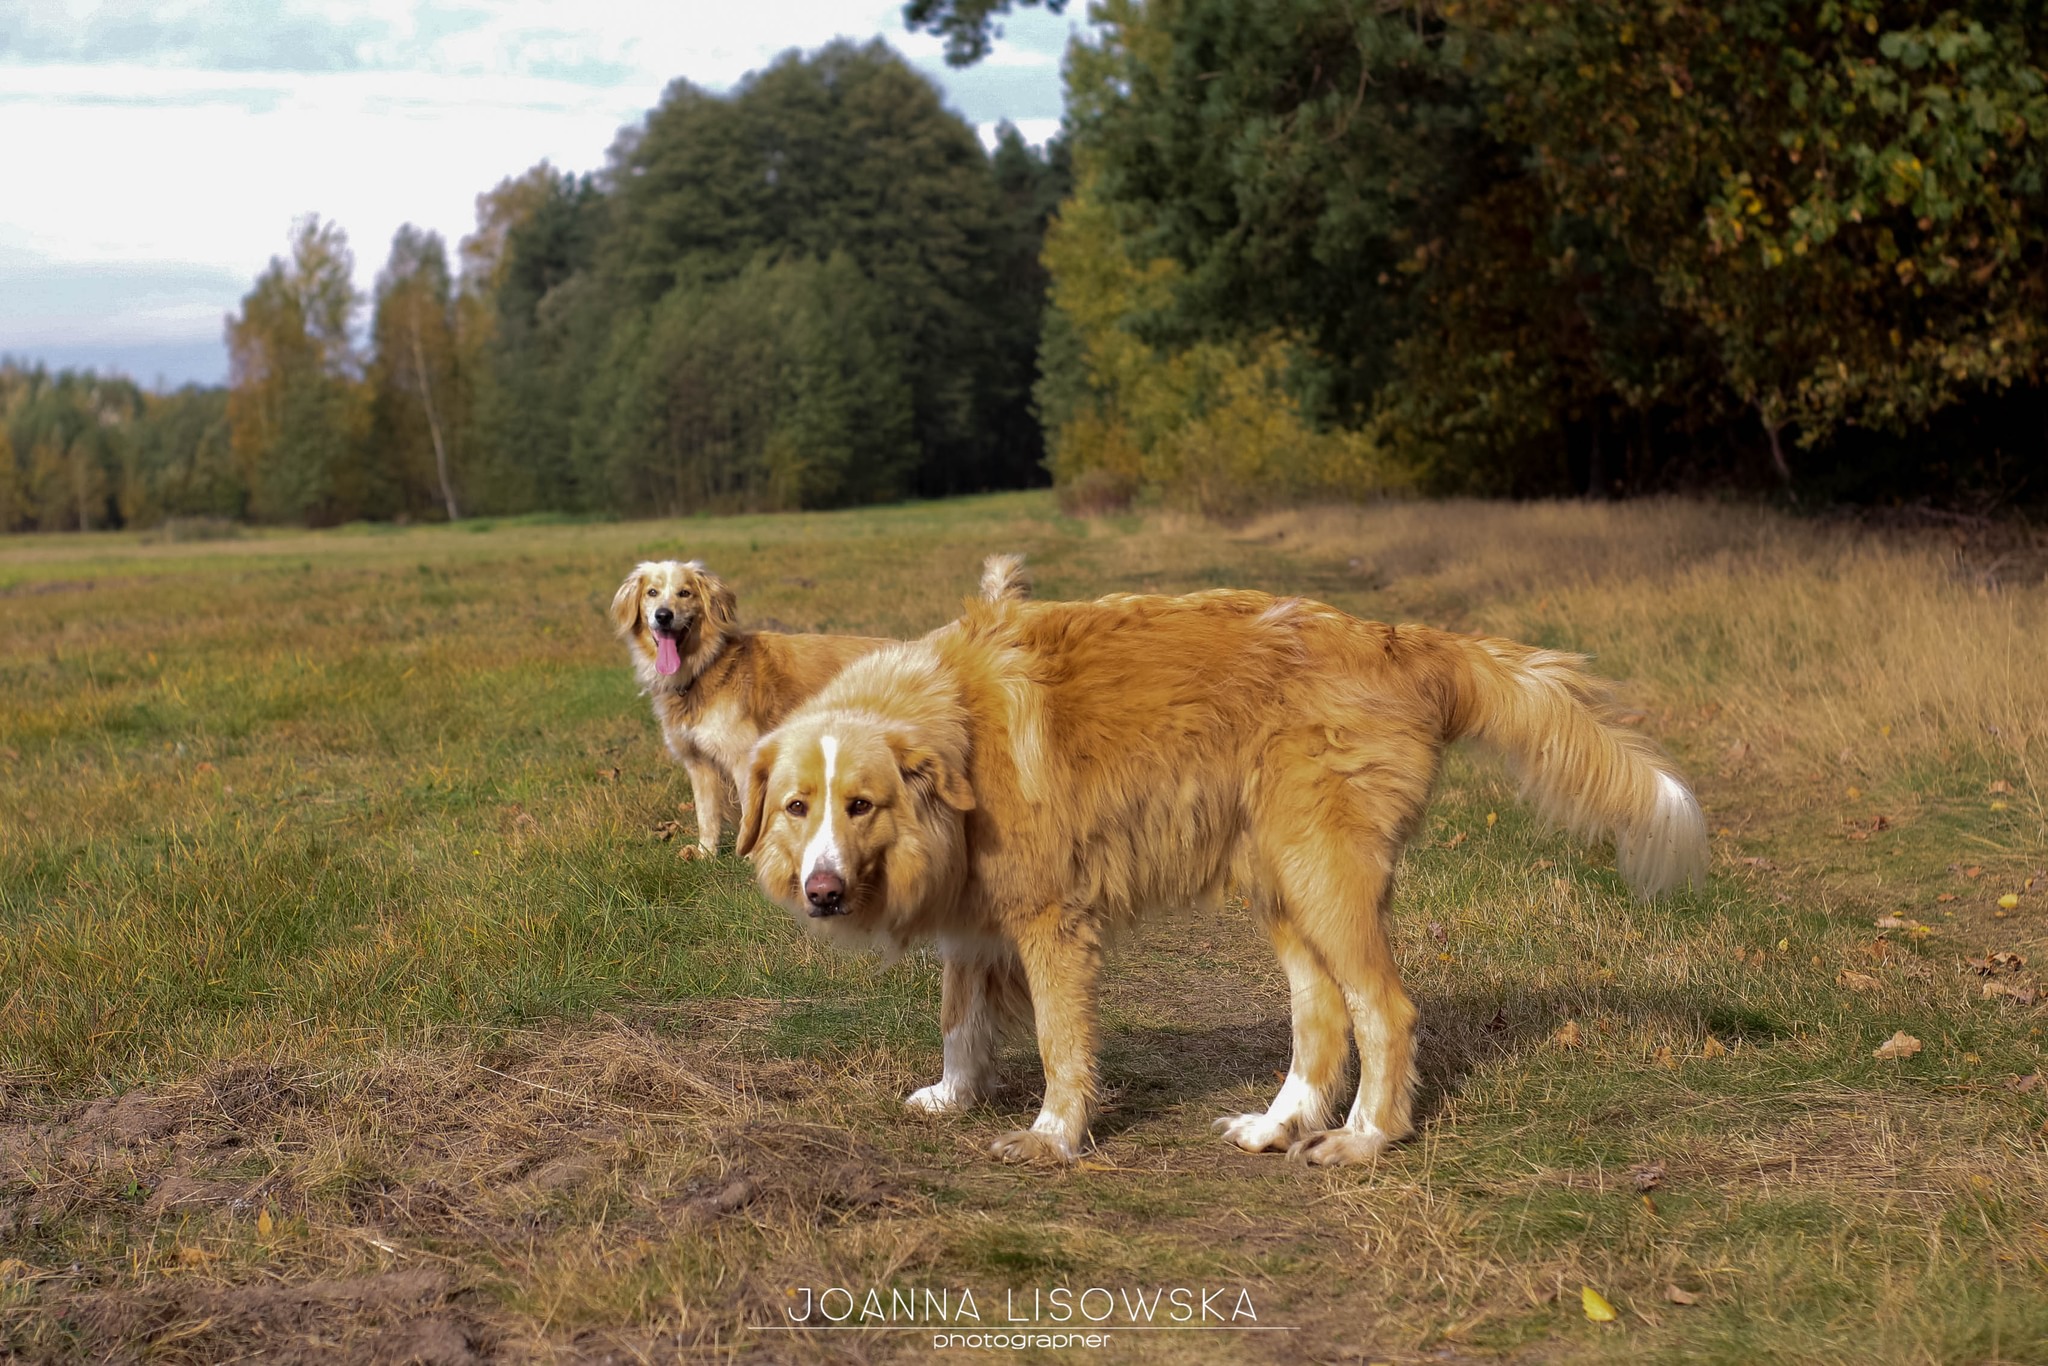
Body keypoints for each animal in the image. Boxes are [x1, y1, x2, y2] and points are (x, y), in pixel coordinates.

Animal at [613, 555, 1030, 858]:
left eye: (685, 593)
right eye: (652, 593)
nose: (663, 616)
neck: (705, 667)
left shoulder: (743, 758)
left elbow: (750, 814)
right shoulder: (698, 764)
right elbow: (706, 816)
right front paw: (705, 853)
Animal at [736, 588, 1707, 1166]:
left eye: (861, 805)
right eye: (797, 808)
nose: (822, 892)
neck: (959, 729)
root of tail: (1399, 641)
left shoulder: (1053, 921)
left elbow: (1057, 1042)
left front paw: (1053, 1138)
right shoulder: (979, 925)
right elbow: (960, 1018)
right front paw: (953, 1096)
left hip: (1325, 882)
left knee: (1384, 1012)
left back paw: (1363, 1141)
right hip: (1286, 888)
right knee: (1320, 1019)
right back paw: (1280, 1125)